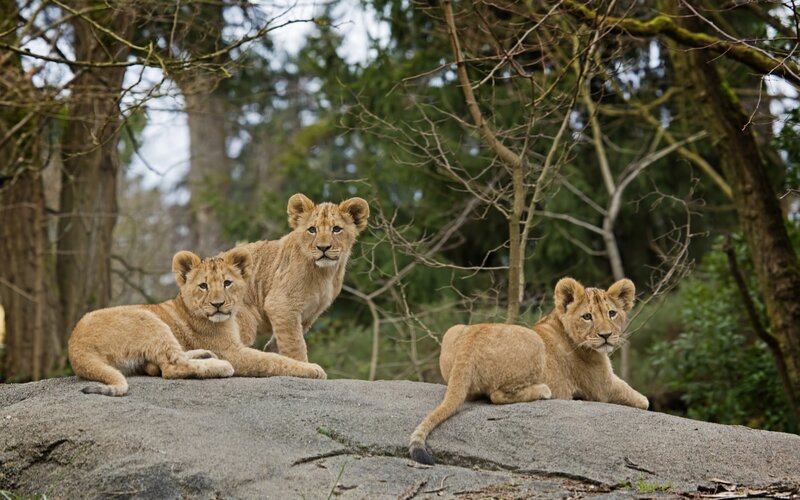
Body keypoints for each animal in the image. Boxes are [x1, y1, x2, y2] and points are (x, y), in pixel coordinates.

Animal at [69, 248, 325, 396]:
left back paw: (203, 355)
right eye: (203, 286)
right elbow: (272, 360)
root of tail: (76, 346)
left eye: (227, 283)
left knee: (164, 363)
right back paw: (219, 365)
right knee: (172, 368)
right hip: (148, 319)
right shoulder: (232, 351)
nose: (218, 304)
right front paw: (313, 368)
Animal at [222, 193, 369, 364]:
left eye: (337, 229)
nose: (323, 248)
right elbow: (295, 345)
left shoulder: (308, 314)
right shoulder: (281, 305)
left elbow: (278, 344)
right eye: (312, 230)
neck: (325, 273)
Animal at [409, 277, 649, 465]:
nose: (606, 335)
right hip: (533, 342)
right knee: (496, 395)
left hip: (453, 330)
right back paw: (543, 391)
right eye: (587, 316)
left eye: (612, 313)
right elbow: (640, 399)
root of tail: (470, 342)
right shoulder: (602, 386)